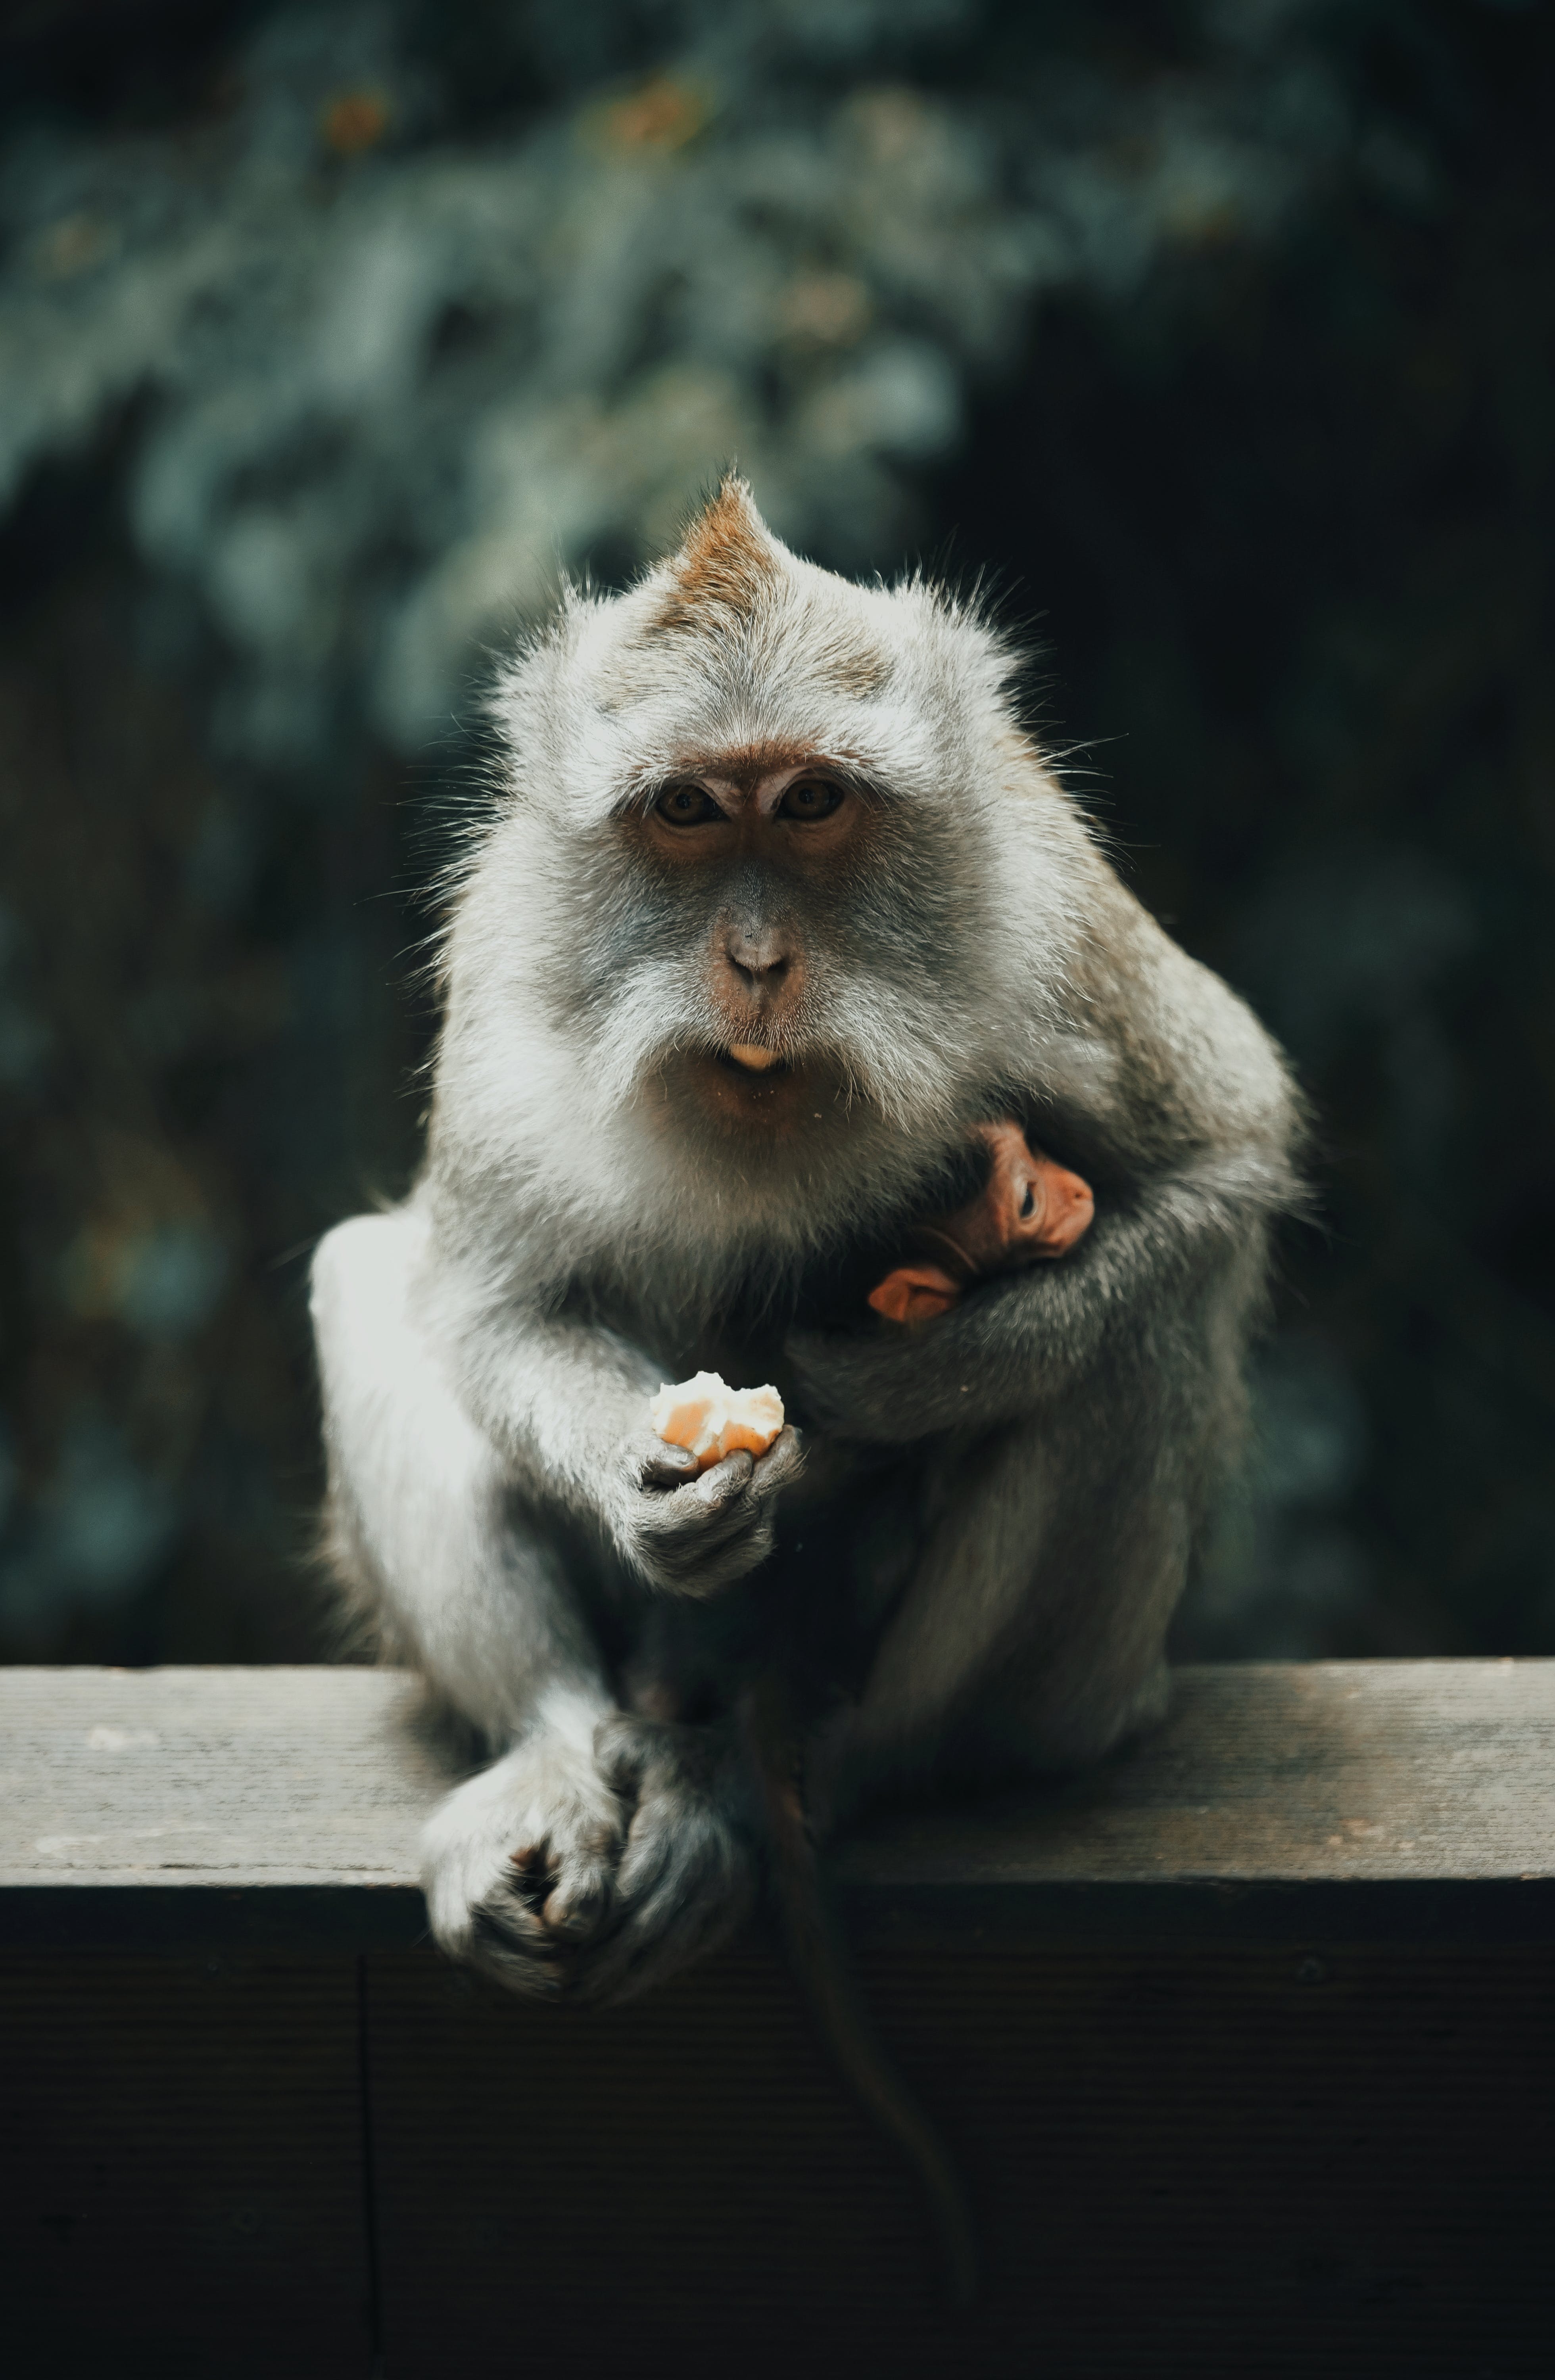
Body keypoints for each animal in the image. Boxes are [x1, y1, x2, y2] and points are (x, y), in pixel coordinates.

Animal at [303, 469, 1295, 2209]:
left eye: (815, 803)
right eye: (691, 813)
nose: (759, 963)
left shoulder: (1044, 913)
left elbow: (1221, 1161)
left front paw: (877, 1393)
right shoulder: (508, 958)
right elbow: (491, 1300)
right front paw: (657, 1491)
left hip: (1051, 1703)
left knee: (1133, 1347)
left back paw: (820, 1773)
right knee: (370, 1273)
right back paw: (562, 1747)